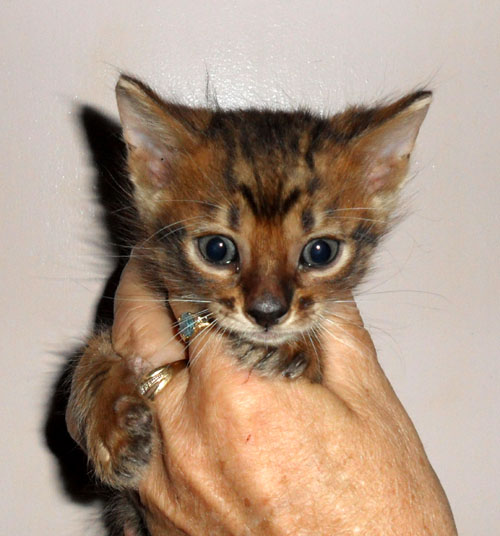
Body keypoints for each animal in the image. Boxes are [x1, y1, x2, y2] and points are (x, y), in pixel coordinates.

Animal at [66, 74, 432, 532]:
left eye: (321, 252)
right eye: (217, 249)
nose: (267, 312)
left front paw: (297, 347)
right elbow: (87, 361)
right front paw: (110, 427)